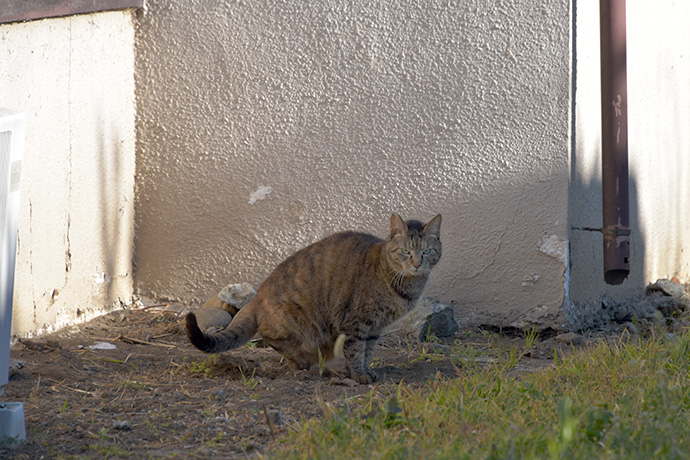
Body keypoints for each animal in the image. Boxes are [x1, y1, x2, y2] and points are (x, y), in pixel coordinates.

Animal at [184, 214, 440, 382]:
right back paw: (303, 364)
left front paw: (366, 371)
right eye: (405, 251)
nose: (417, 264)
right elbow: (356, 351)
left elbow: (368, 352)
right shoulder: (356, 324)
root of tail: (259, 296)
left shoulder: (375, 328)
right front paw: (359, 376)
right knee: (273, 339)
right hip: (300, 321)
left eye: (427, 251)